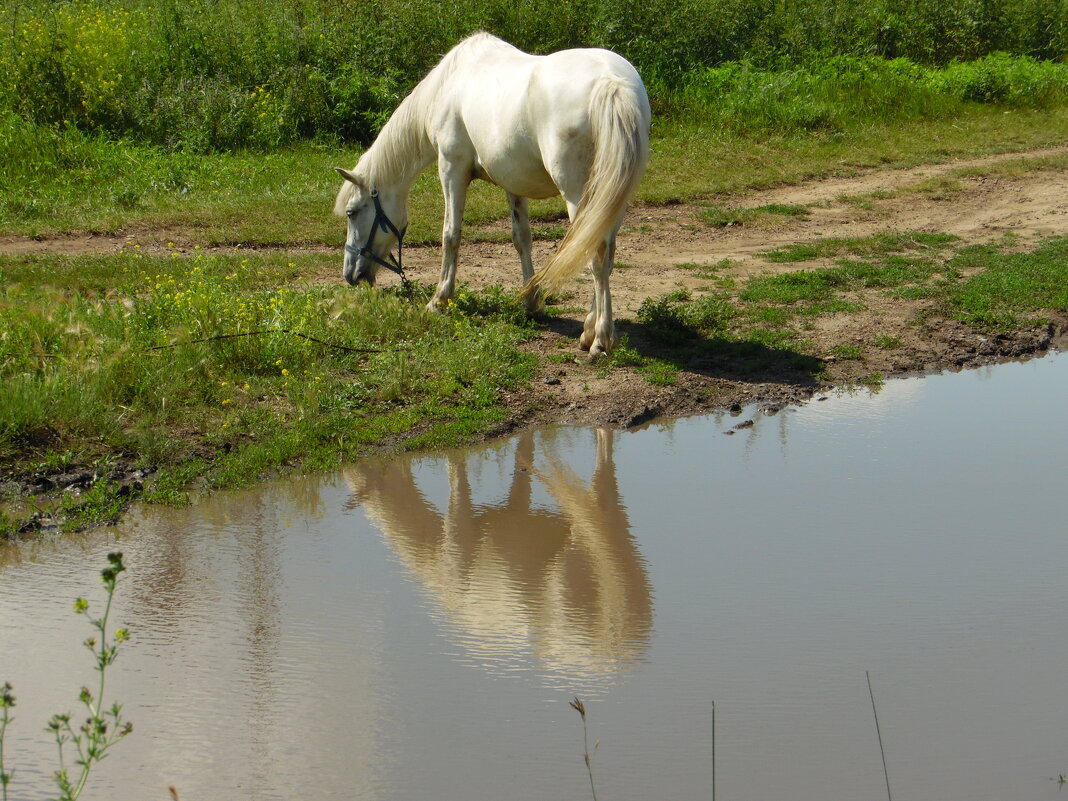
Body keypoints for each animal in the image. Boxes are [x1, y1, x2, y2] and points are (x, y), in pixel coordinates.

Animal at [335, 32, 649, 356]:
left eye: (351, 212)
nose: (350, 275)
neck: (449, 83)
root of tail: (612, 83)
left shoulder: (452, 169)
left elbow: (451, 235)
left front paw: (439, 299)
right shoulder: (513, 182)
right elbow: (522, 238)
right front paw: (531, 301)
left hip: (580, 196)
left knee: (595, 254)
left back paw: (600, 338)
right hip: (612, 197)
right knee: (605, 254)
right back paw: (589, 329)